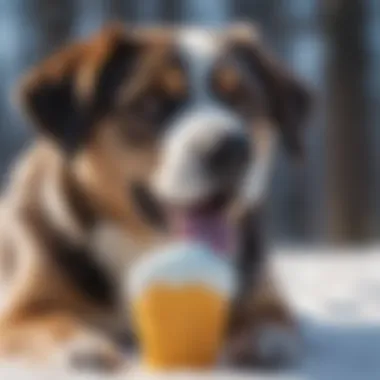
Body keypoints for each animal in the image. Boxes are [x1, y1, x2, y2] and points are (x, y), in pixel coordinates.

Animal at [0, 23, 310, 372]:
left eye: (241, 99)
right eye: (151, 102)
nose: (230, 150)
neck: (147, 245)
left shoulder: (264, 297)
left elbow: (272, 324)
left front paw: (261, 342)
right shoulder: (19, 312)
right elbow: (50, 324)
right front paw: (83, 347)